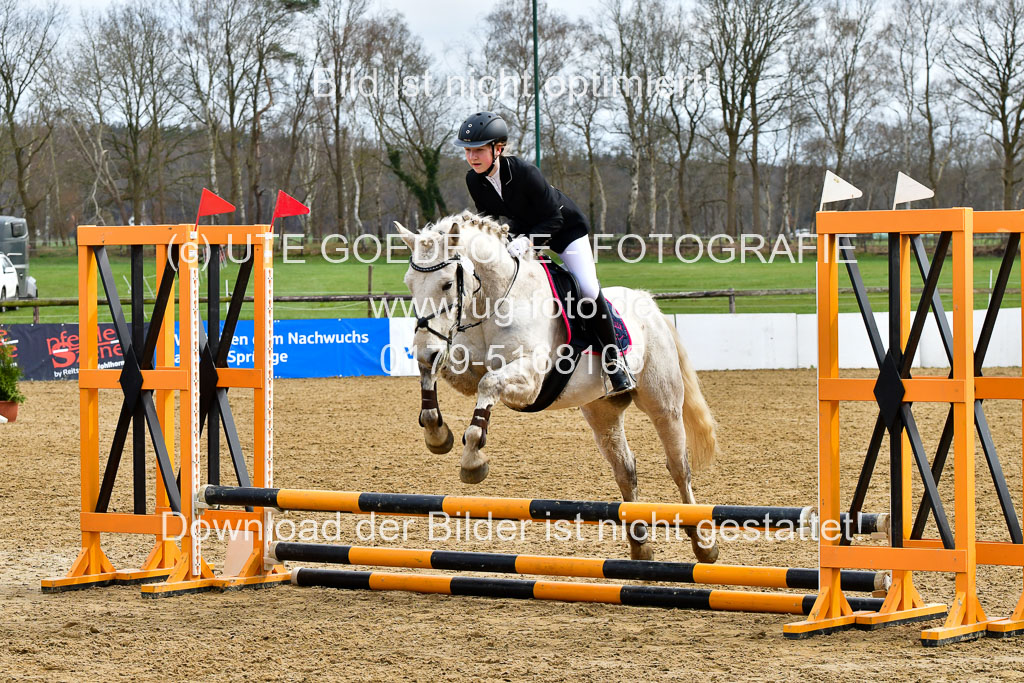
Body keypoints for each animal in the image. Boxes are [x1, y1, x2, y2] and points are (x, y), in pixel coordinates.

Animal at [393, 211, 720, 561]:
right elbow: (435, 372)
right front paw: (436, 433)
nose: (425, 348)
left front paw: (472, 459)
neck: (493, 300)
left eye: (447, 283)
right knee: (625, 468)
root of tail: (648, 303)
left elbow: (489, 384)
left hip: (663, 405)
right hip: (602, 412)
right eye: (409, 284)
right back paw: (640, 546)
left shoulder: (530, 381)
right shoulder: (461, 365)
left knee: (679, 467)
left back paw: (704, 546)